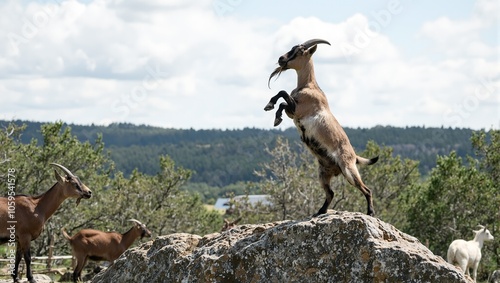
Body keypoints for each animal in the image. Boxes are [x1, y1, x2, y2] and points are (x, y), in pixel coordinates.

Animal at [264, 38, 376, 217]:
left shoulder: (298, 109)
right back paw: (320, 211)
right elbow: (282, 98)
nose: (281, 59)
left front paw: (274, 114)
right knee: (331, 193)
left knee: (366, 189)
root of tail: (354, 156)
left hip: (348, 169)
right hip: (323, 173)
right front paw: (273, 112)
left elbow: (283, 95)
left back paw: (370, 212)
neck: (309, 86)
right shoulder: (293, 112)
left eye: (300, 51)